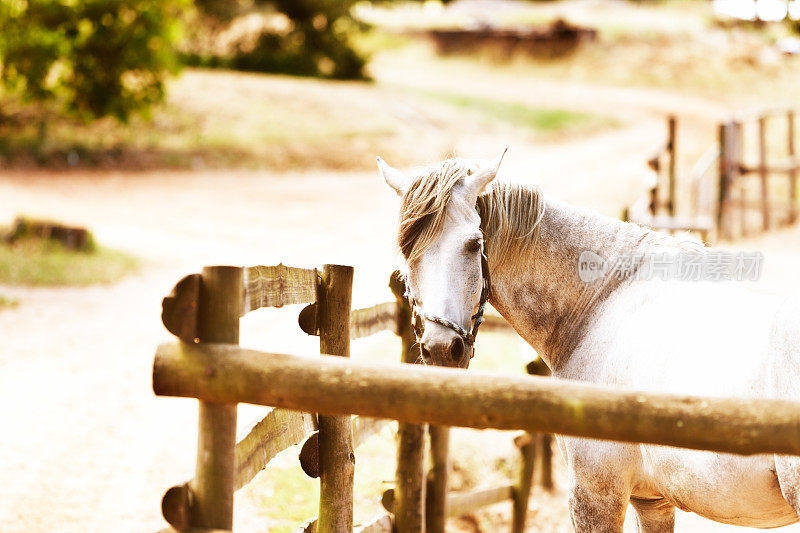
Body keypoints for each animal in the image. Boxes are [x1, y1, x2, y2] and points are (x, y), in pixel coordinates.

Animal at [378, 152, 800, 528]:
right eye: (406, 250)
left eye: (473, 245)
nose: (441, 348)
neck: (602, 301)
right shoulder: (652, 503)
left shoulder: (595, 495)